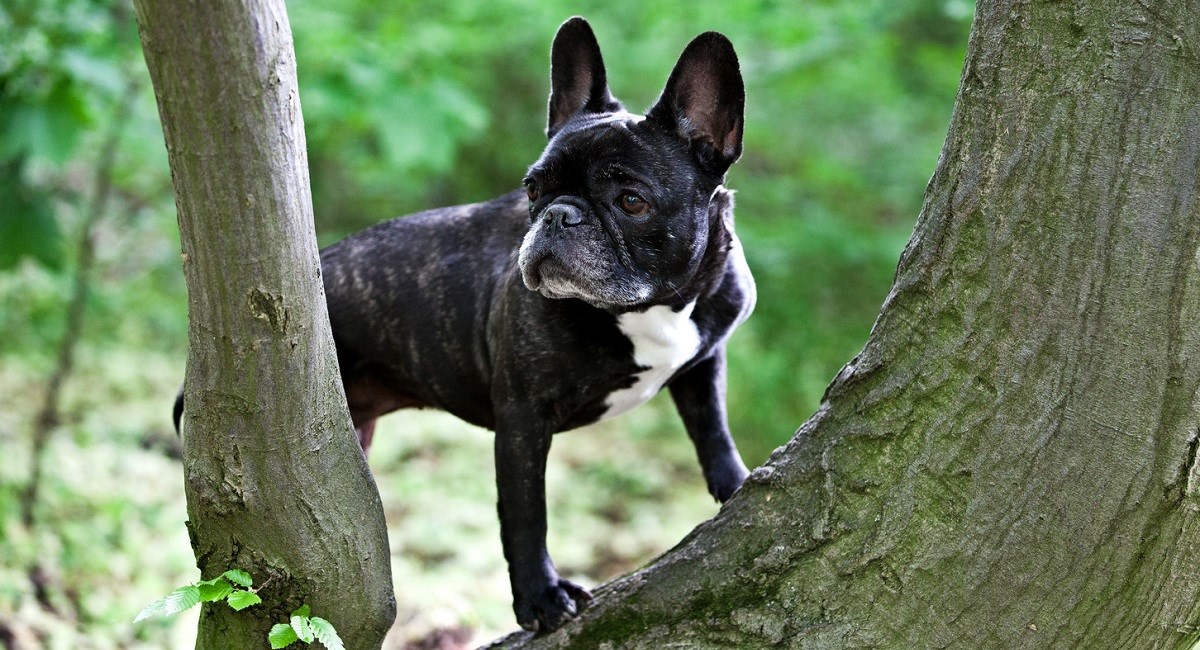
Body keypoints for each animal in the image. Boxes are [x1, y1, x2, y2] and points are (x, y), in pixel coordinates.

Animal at [174, 16, 748, 638]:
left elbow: (713, 427)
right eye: (533, 189)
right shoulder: (523, 420)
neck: (656, 308)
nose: (558, 214)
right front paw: (540, 600)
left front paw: (738, 482)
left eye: (632, 201)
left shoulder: (703, 361)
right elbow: (526, 515)